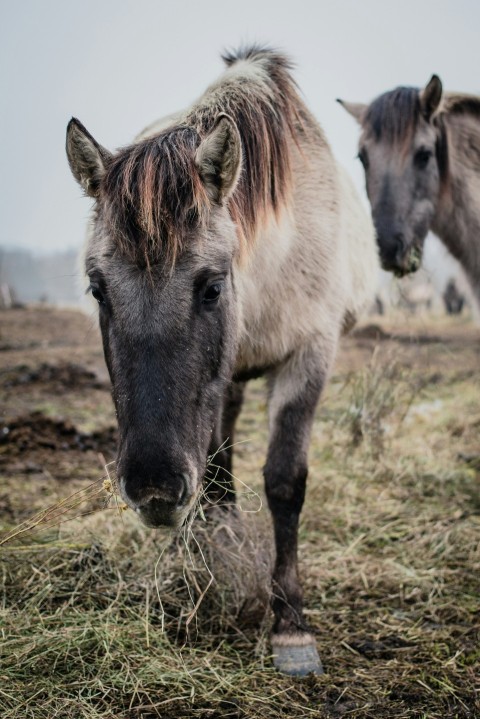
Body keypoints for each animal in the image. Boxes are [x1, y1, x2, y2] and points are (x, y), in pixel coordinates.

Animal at [66, 47, 378, 676]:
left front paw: (291, 625)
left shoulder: (310, 357)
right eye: (97, 289)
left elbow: (284, 481)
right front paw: (205, 578)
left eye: (212, 287)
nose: (154, 489)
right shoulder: (214, 387)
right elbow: (213, 474)